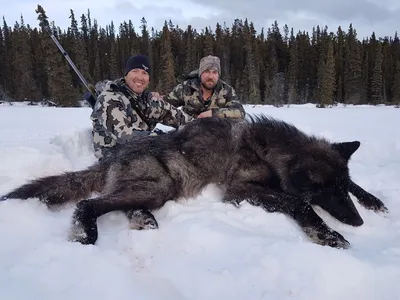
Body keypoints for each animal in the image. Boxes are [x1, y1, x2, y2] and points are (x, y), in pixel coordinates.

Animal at [0, 115, 388, 248]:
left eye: (342, 188)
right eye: (328, 191)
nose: (357, 222)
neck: (270, 150)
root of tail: (112, 156)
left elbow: (356, 187)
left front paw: (374, 201)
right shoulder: (239, 191)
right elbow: (298, 202)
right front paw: (328, 234)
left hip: (154, 188)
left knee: (120, 205)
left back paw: (143, 220)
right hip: (159, 185)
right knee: (88, 203)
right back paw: (88, 234)